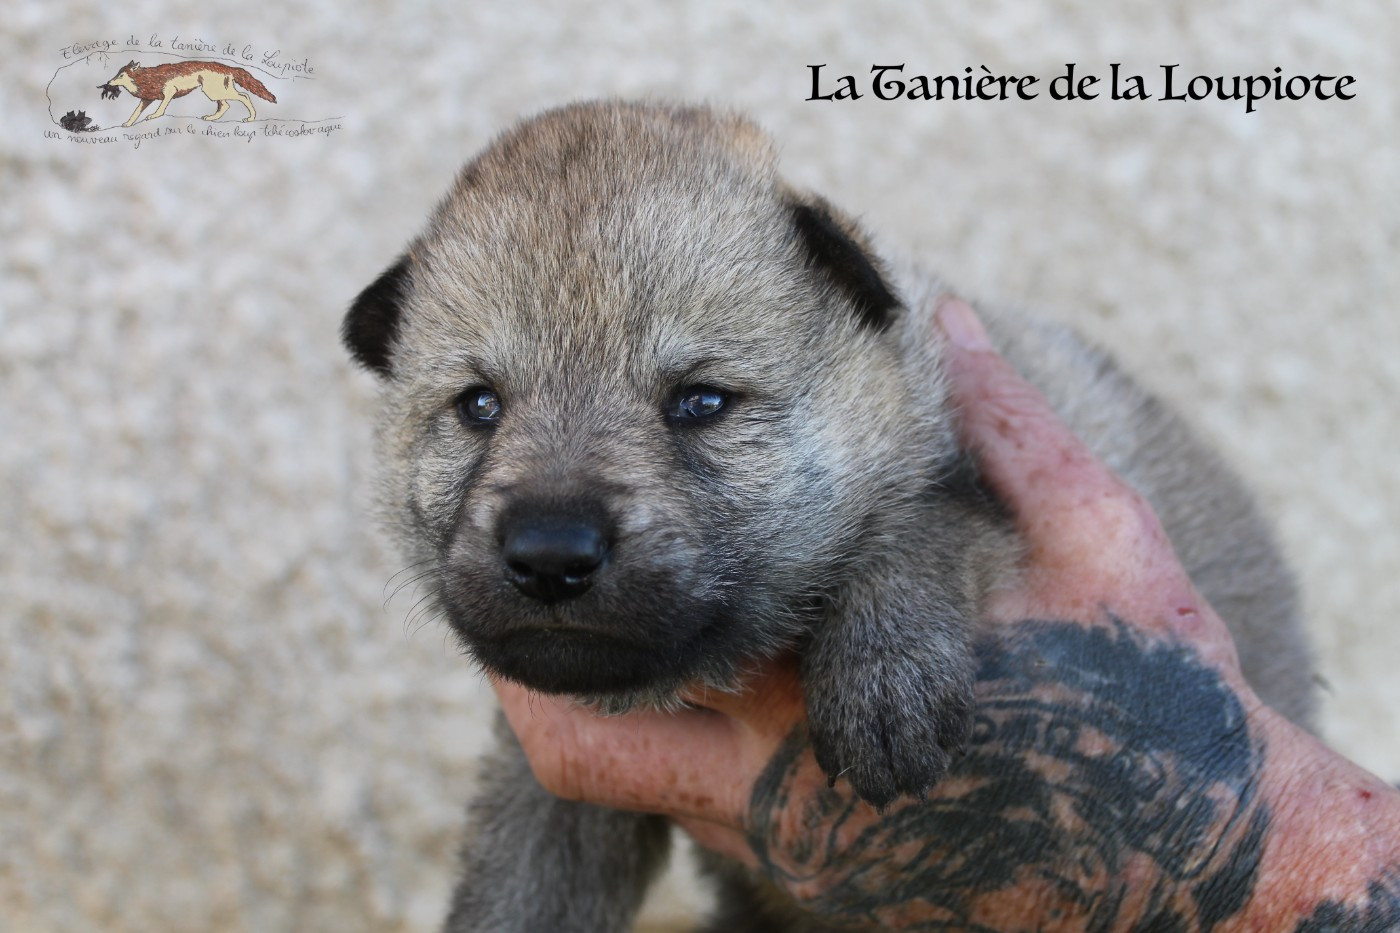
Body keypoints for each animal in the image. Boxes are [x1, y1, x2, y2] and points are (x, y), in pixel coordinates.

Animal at [98, 60, 276, 127]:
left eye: (121, 75)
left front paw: (153, 116)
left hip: (214, 92)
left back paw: (251, 118)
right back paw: (211, 118)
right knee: (225, 106)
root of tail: (229, 67)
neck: (146, 78)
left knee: (244, 97)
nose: (108, 83)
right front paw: (128, 124)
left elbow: (161, 109)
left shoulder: (169, 91)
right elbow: (135, 113)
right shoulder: (146, 100)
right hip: (215, 94)